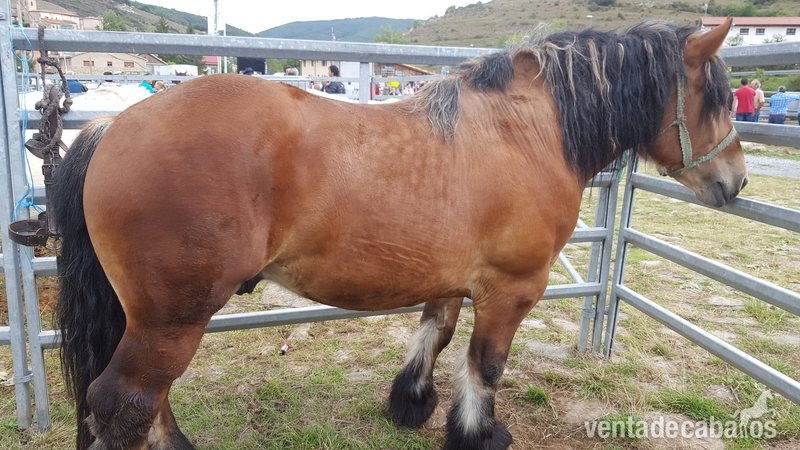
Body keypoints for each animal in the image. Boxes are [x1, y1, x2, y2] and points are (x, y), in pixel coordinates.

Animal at [52, 18, 745, 450]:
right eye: (716, 98)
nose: (735, 181)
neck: (528, 132)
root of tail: (114, 126)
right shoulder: (512, 288)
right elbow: (486, 365)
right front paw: (478, 434)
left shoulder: (450, 275)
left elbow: (435, 334)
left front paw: (411, 403)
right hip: (173, 317)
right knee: (124, 402)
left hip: (158, 318)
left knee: (149, 400)